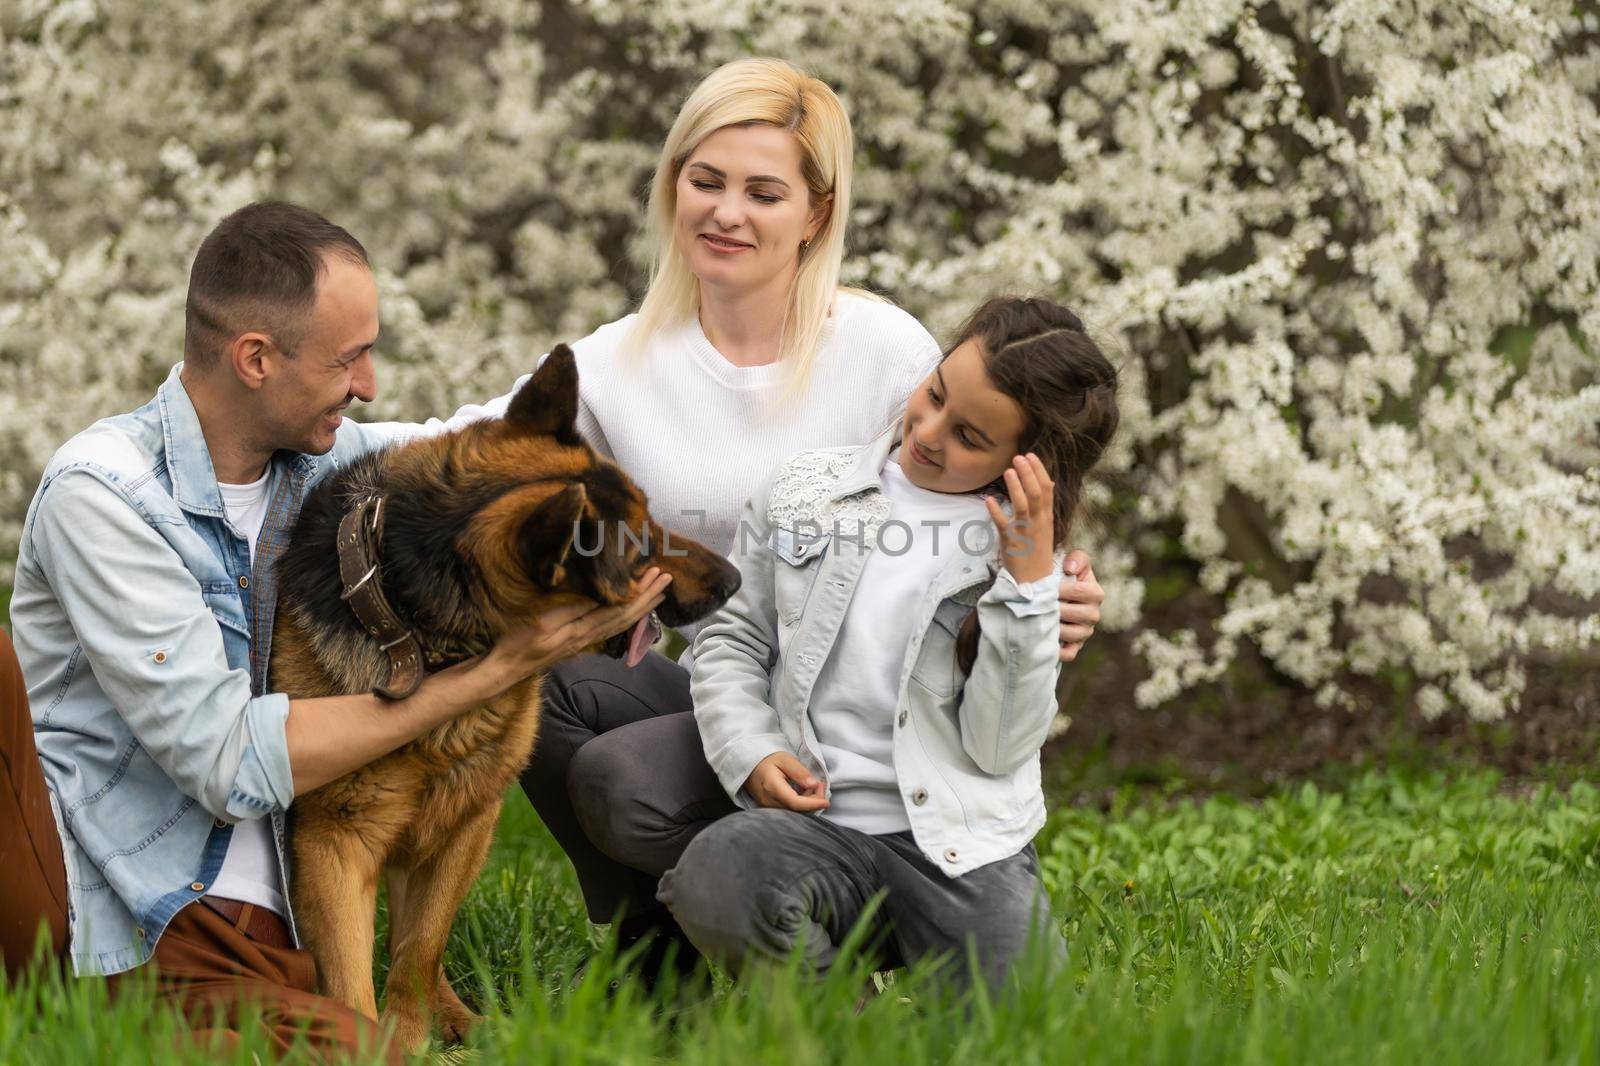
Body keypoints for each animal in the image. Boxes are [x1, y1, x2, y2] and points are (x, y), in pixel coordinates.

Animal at [270, 347, 742, 1043]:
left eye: (654, 517)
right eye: (639, 555)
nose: (734, 580)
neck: (419, 629)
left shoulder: (469, 819)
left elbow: (419, 950)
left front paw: (410, 1032)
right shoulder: (333, 843)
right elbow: (353, 983)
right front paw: (376, 1044)